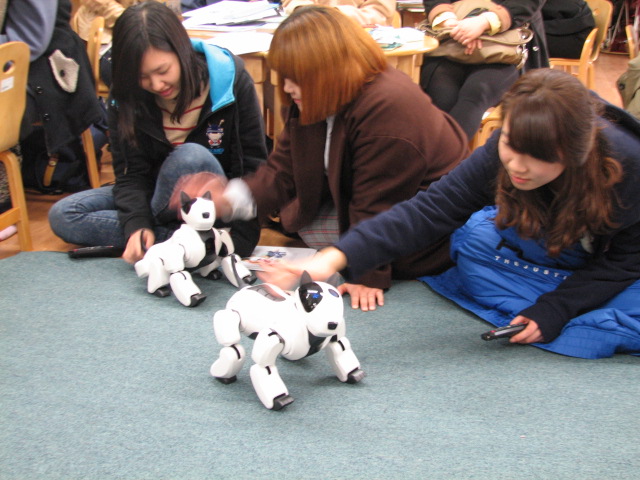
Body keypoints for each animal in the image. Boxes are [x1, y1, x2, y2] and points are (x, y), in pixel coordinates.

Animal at [210, 272, 364, 410]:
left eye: (337, 298)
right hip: (234, 313)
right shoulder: (274, 335)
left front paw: (354, 373)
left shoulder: (336, 332)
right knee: (233, 348)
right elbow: (264, 367)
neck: (305, 323)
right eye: (314, 298)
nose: (332, 324)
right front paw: (279, 399)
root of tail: (245, 288)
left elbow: (340, 346)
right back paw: (222, 375)